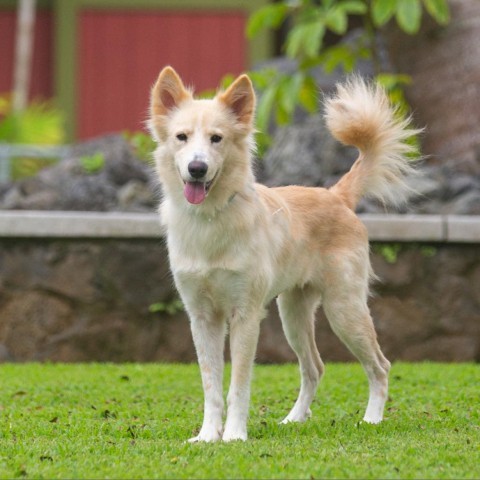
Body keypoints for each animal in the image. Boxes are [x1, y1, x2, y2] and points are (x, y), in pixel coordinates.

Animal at [148, 66, 418, 442]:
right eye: (181, 137)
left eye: (217, 139)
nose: (197, 168)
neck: (211, 219)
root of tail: (336, 195)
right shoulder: (201, 318)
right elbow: (211, 386)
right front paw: (207, 436)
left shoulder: (245, 316)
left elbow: (238, 385)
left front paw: (234, 435)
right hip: (293, 314)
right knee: (314, 368)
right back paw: (294, 418)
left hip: (345, 310)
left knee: (380, 366)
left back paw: (372, 419)